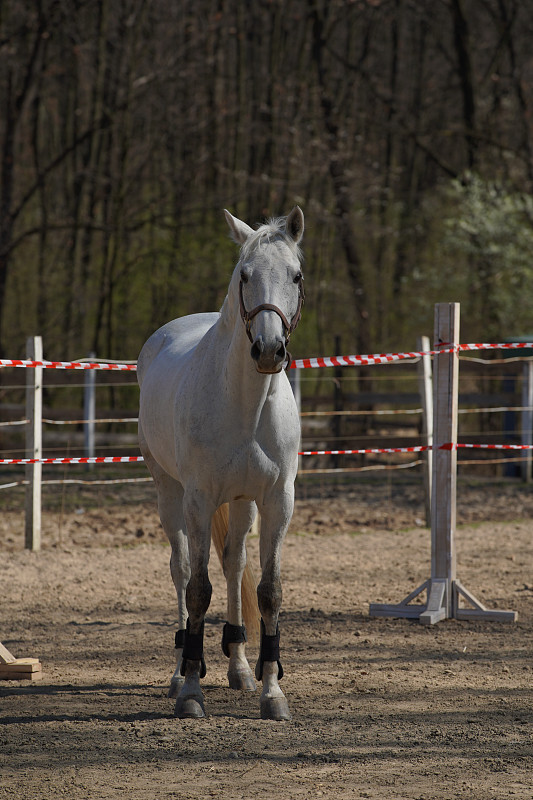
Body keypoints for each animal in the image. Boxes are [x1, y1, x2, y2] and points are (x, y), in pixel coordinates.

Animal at [136, 205, 304, 720]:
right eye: (244, 275)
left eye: (296, 275)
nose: (268, 350)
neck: (245, 405)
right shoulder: (199, 499)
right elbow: (197, 590)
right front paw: (191, 691)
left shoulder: (276, 501)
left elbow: (268, 591)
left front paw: (272, 691)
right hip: (169, 494)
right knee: (181, 569)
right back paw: (178, 672)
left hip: (243, 503)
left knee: (233, 563)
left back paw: (239, 666)